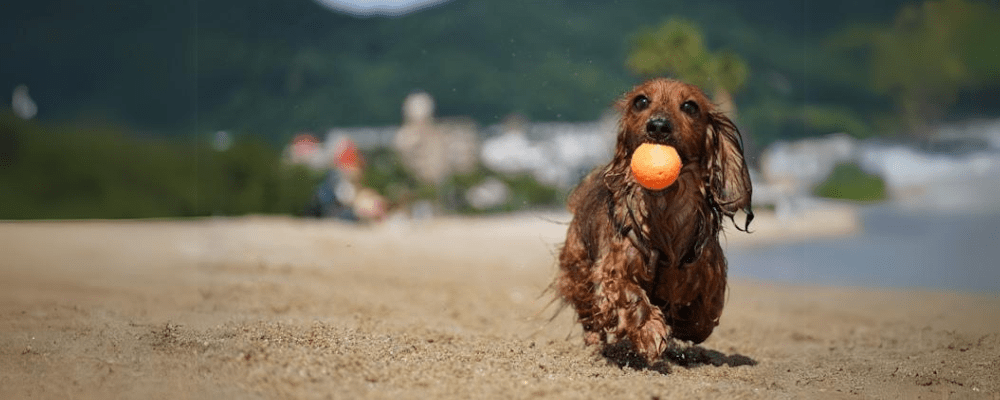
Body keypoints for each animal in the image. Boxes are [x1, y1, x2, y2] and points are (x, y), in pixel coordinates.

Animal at [556, 77, 752, 362]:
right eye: (641, 101)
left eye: (690, 106)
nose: (658, 126)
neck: (665, 206)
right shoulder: (613, 269)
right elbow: (630, 294)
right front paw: (649, 330)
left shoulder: (709, 273)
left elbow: (703, 317)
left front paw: (682, 324)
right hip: (578, 269)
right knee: (589, 313)